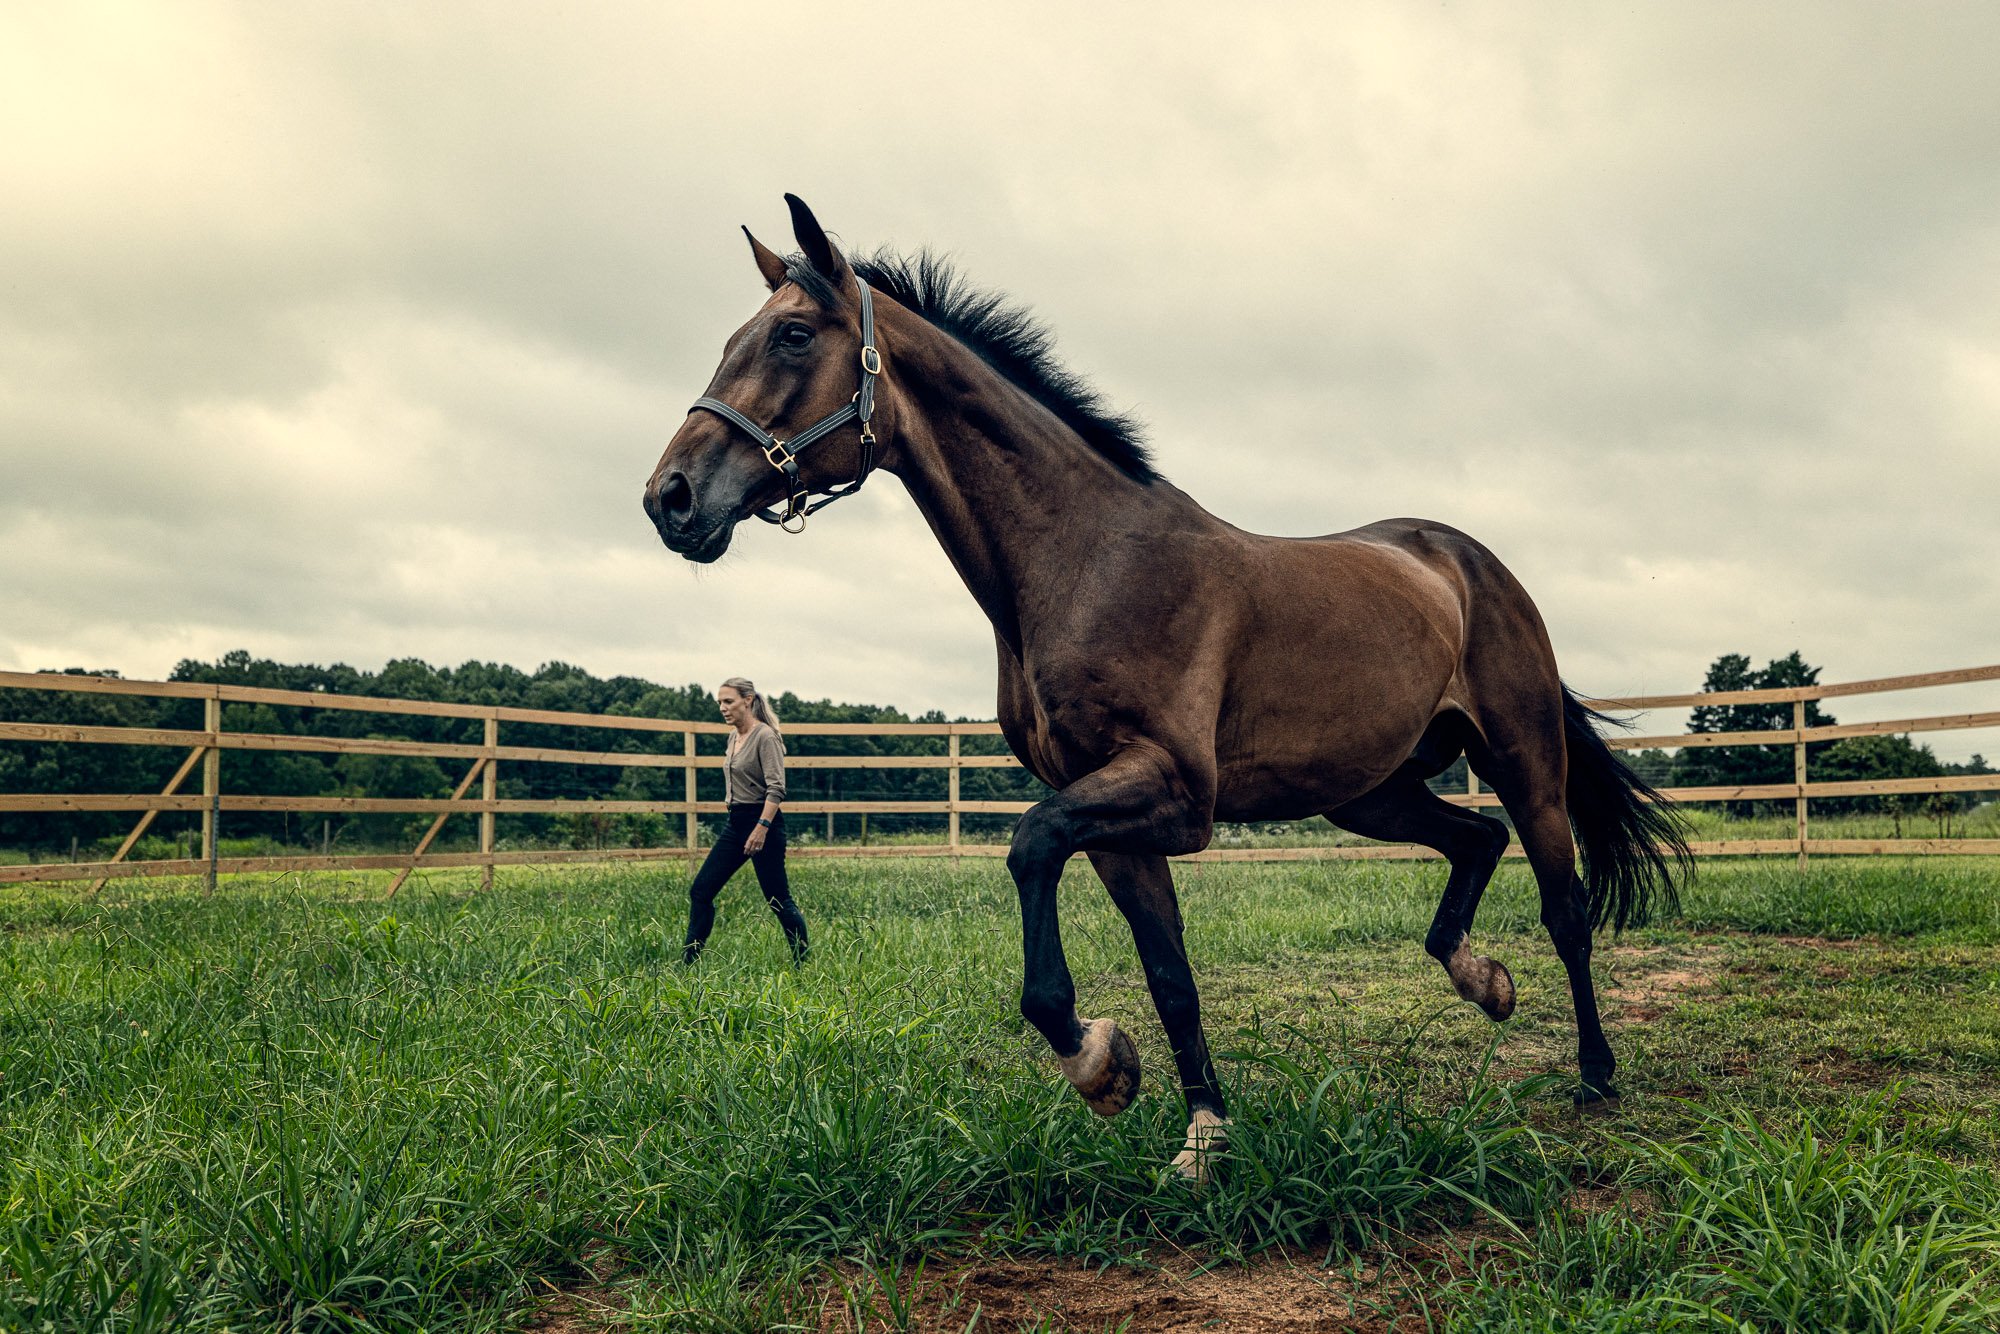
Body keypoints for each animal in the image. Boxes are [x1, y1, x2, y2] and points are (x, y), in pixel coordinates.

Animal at [643, 195, 1691, 1180]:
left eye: (791, 336)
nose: (670, 498)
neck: (1088, 560)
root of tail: (1466, 561)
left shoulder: (1172, 795)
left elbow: (1030, 846)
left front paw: (1100, 1061)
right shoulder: (1114, 817)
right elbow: (1168, 972)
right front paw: (1196, 1127)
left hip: (1522, 760)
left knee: (1564, 907)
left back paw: (1594, 1073)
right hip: (1370, 793)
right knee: (1477, 840)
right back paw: (1484, 981)